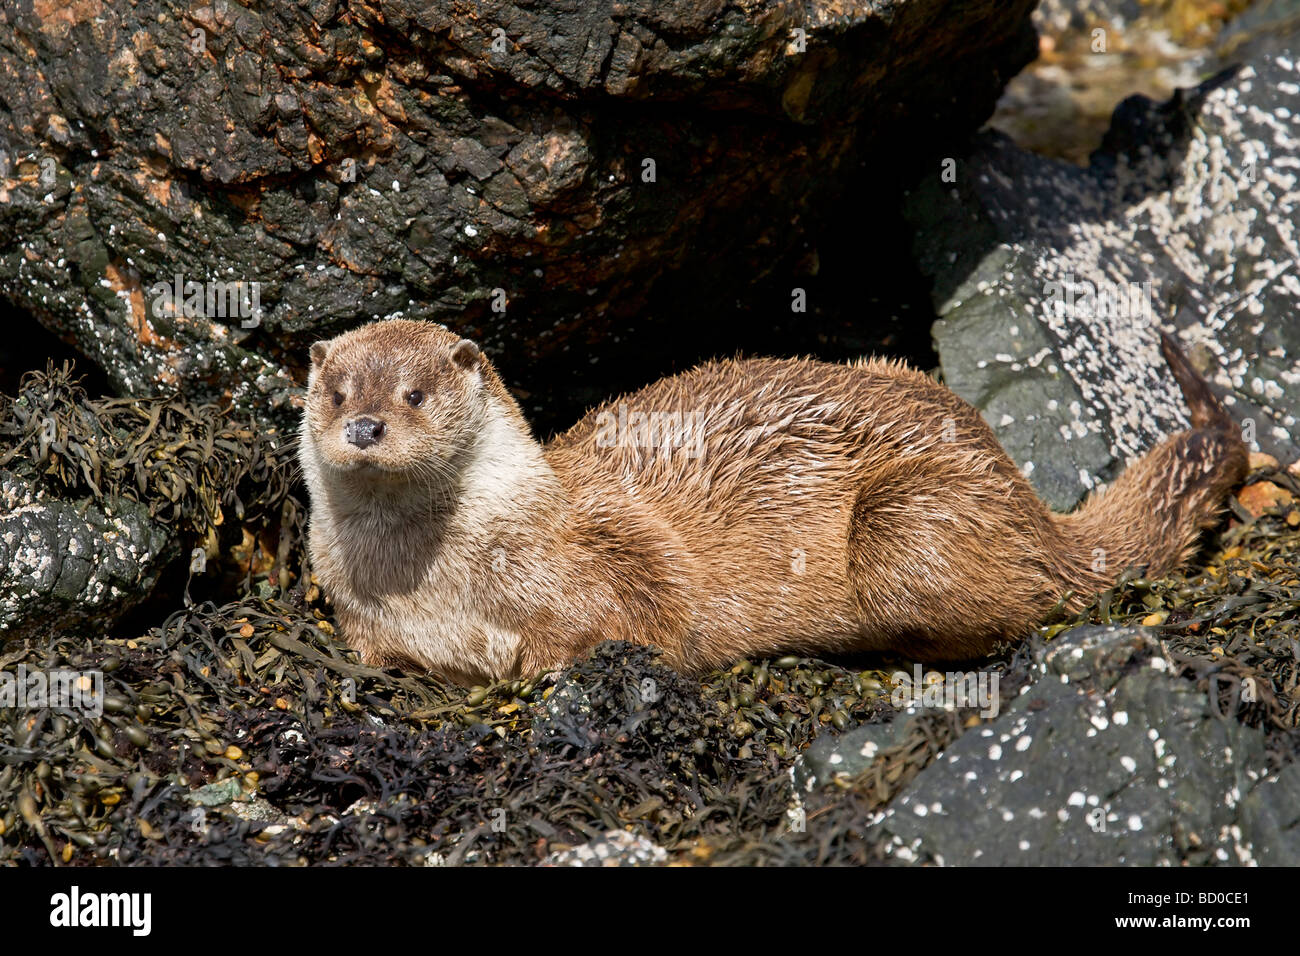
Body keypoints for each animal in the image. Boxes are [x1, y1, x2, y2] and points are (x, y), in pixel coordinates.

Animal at [297, 323, 1248, 686]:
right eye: (336, 392)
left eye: (416, 393)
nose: (367, 425)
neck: (439, 588)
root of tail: (1022, 494)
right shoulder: (362, 617)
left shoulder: (608, 558)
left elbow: (629, 622)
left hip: (914, 520)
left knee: (1024, 602)